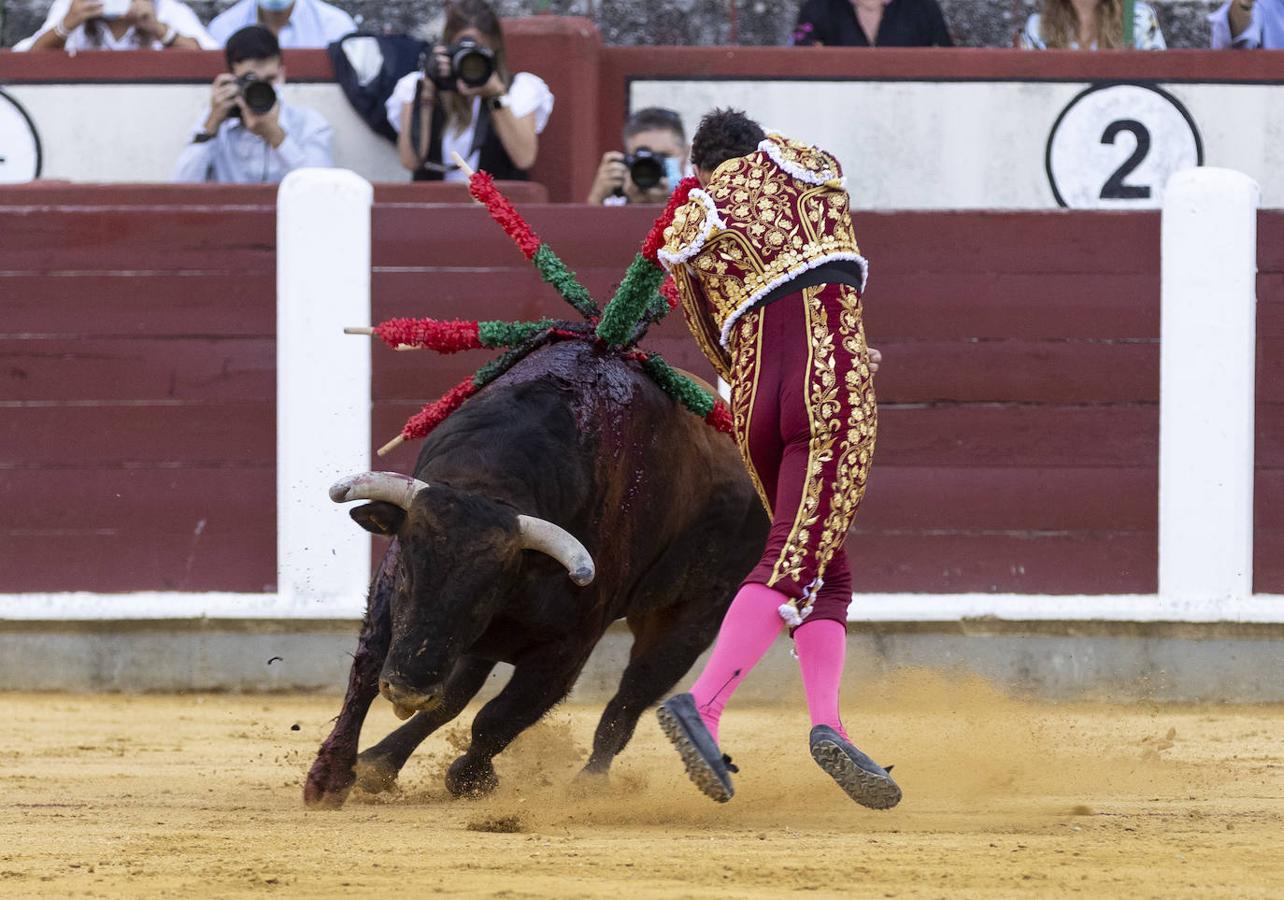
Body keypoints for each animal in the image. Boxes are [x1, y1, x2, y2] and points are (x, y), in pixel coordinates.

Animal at [305, 338, 765, 806]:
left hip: (693, 617)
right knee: (455, 693)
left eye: (486, 596)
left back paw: (590, 783)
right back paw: (379, 762)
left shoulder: (567, 648)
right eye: (407, 577)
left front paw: (469, 778)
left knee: (629, 700)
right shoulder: (389, 595)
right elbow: (368, 671)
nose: (406, 690)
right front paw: (329, 778)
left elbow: (500, 716)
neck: (489, 483)